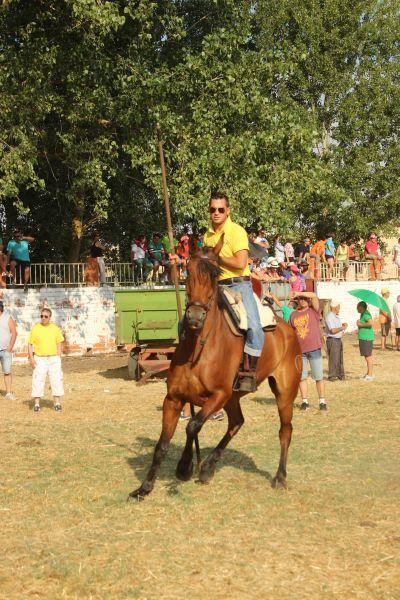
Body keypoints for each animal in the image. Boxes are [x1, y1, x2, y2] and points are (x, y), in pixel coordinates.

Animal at [130, 240, 302, 502]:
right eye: (188, 272)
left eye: (213, 275)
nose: (194, 316)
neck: (197, 350)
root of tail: (287, 328)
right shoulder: (173, 398)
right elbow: (162, 445)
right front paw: (145, 487)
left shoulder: (219, 395)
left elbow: (193, 425)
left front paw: (184, 467)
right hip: (234, 398)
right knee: (237, 422)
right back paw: (208, 467)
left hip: (284, 390)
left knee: (285, 430)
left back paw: (280, 477)